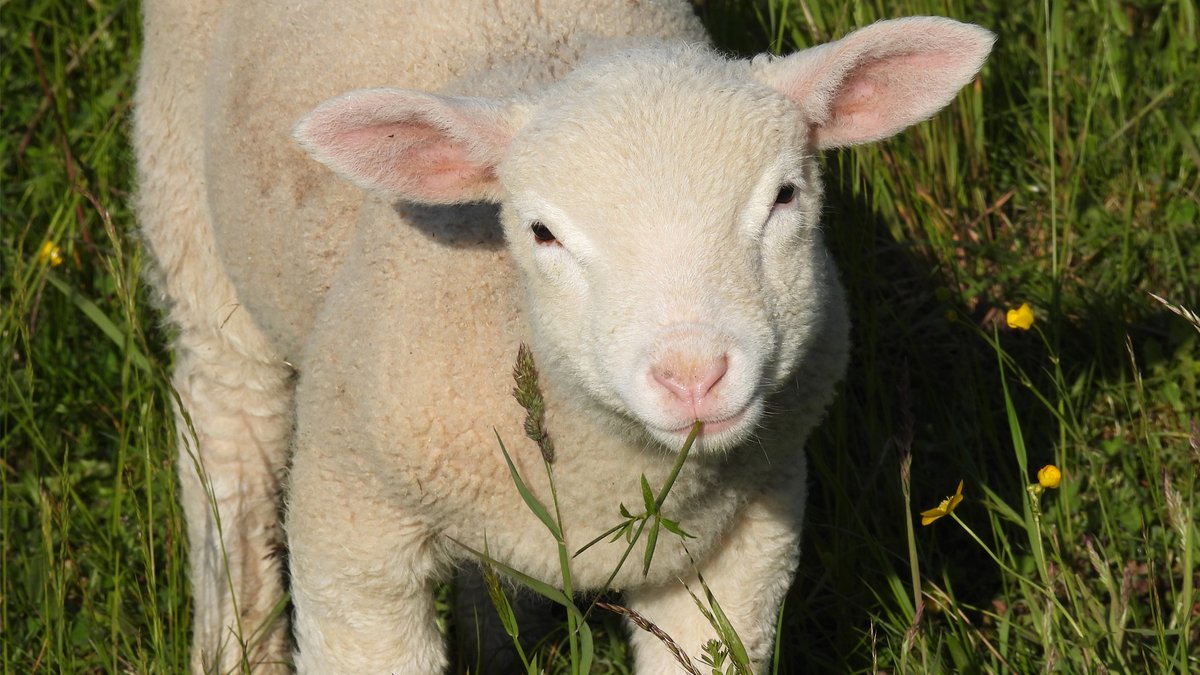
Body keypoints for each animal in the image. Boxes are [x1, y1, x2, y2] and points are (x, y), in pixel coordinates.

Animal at [133, 0, 993, 672]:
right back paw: (234, 640)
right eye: (542, 232)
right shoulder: (353, 529)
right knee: (227, 420)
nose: (693, 375)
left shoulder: (741, 540)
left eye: (785, 196)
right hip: (184, 176)